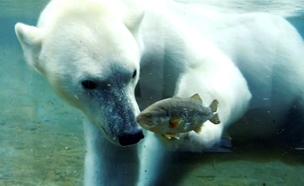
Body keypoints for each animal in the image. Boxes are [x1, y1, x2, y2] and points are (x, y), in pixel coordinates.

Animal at [13, 0, 304, 185]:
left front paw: (195, 130)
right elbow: (113, 163)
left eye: (132, 72)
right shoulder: (102, 119)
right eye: (89, 83)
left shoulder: (163, 35)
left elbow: (213, 67)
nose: (131, 134)